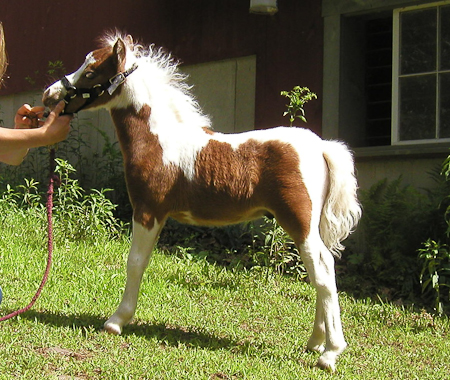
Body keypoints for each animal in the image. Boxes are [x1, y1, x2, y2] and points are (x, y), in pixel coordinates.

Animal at [43, 32, 362, 372]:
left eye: (91, 72)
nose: (49, 94)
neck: (158, 140)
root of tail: (321, 146)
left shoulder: (148, 211)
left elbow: (135, 262)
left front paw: (117, 320)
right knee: (320, 271)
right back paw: (315, 341)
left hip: (299, 222)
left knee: (323, 271)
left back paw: (330, 352)